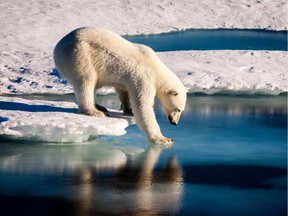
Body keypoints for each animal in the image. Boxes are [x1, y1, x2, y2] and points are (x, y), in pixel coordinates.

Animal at [53, 27, 187, 145]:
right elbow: (143, 106)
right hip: (79, 55)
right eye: (178, 109)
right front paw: (164, 139)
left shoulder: (128, 78)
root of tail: (57, 48)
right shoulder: (143, 77)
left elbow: (124, 91)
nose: (174, 123)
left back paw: (100, 107)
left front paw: (129, 110)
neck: (156, 69)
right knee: (86, 80)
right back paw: (95, 111)